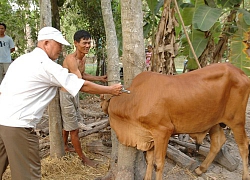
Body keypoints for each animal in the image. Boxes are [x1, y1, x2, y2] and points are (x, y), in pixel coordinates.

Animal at [100, 63, 250, 180]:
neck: (135, 99)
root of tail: (241, 73)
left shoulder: (163, 131)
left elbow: (158, 163)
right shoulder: (149, 135)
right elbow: (149, 159)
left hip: (236, 120)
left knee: (243, 146)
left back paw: (245, 175)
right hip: (214, 122)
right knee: (218, 142)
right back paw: (201, 169)